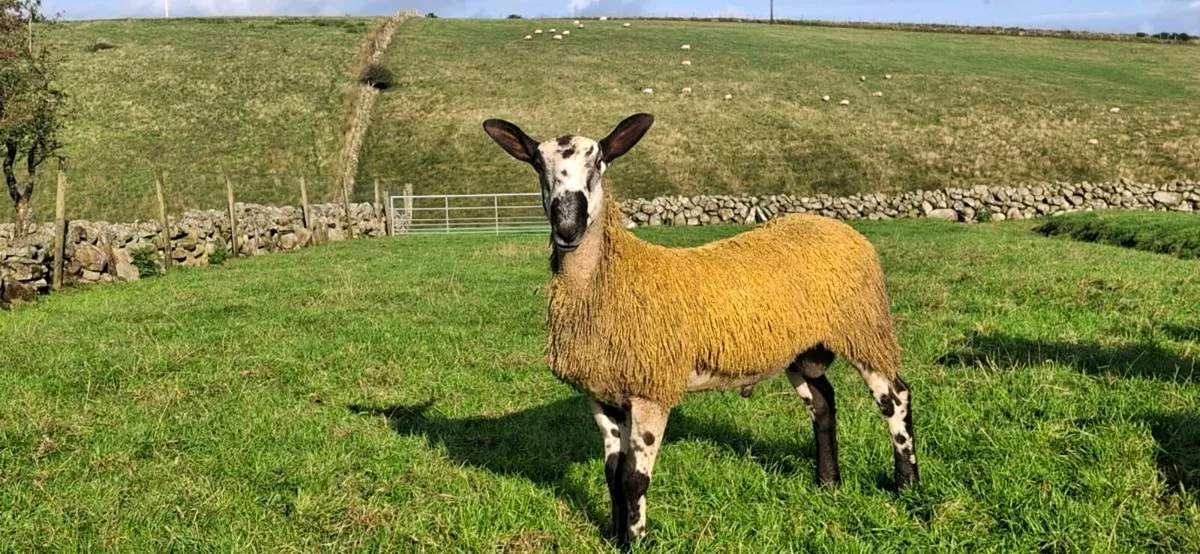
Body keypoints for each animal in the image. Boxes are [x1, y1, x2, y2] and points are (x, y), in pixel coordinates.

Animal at [482, 113, 919, 549]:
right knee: (823, 402)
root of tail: (834, 225)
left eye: (600, 163)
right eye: (538, 165)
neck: (611, 278)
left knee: (895, 398)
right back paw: (828, 483)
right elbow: (612, 476)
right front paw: (617, 537)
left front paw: (637, 541)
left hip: (864, 328)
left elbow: (633, 479)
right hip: (800, 348)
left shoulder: (652, 390)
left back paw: (907, 486)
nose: (568, 228)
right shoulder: (601, 393)